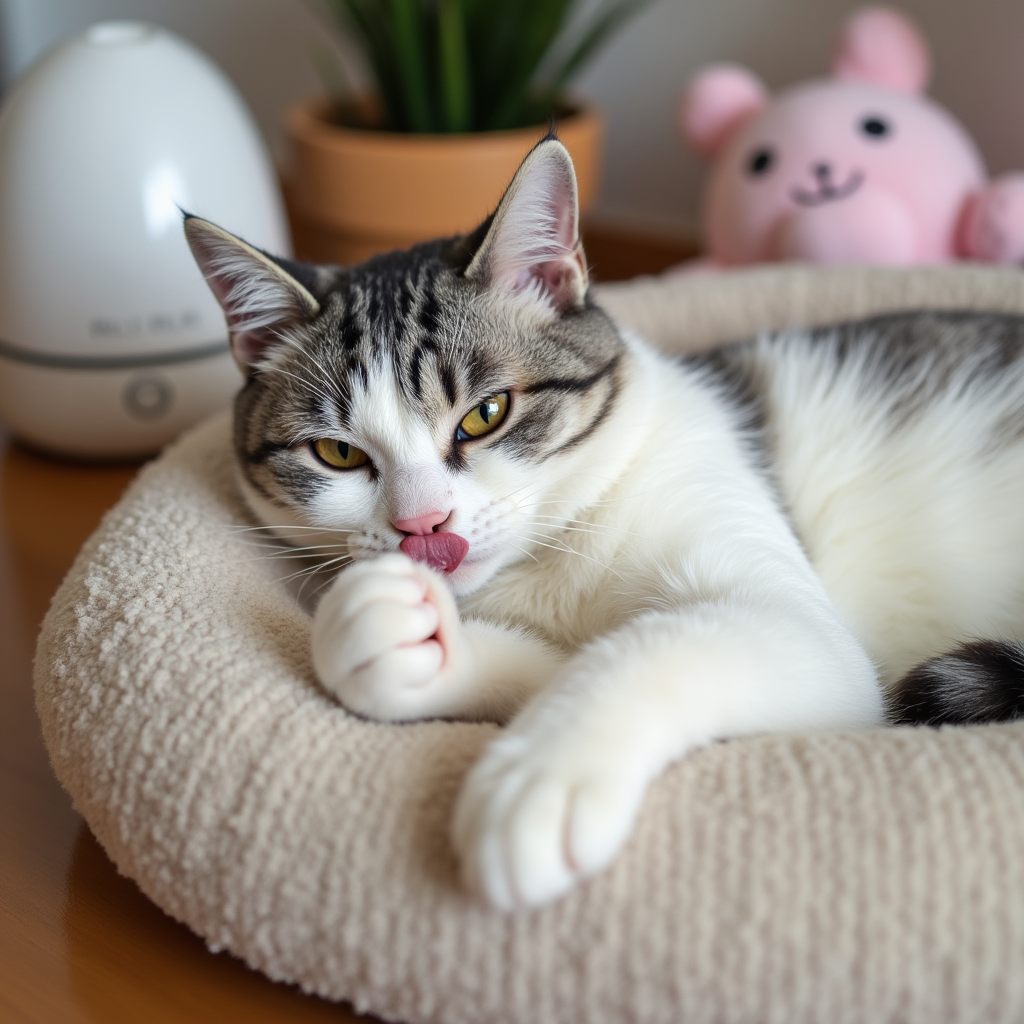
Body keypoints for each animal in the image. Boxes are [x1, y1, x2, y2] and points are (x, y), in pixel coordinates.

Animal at [184, 132, 1024, 909]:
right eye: (336, 453)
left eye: (486, 414)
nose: (425, 526)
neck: (555, 548)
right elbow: (556, 663)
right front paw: (404, 637)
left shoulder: (799, 624)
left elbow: (654, 643)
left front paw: (541, 779)